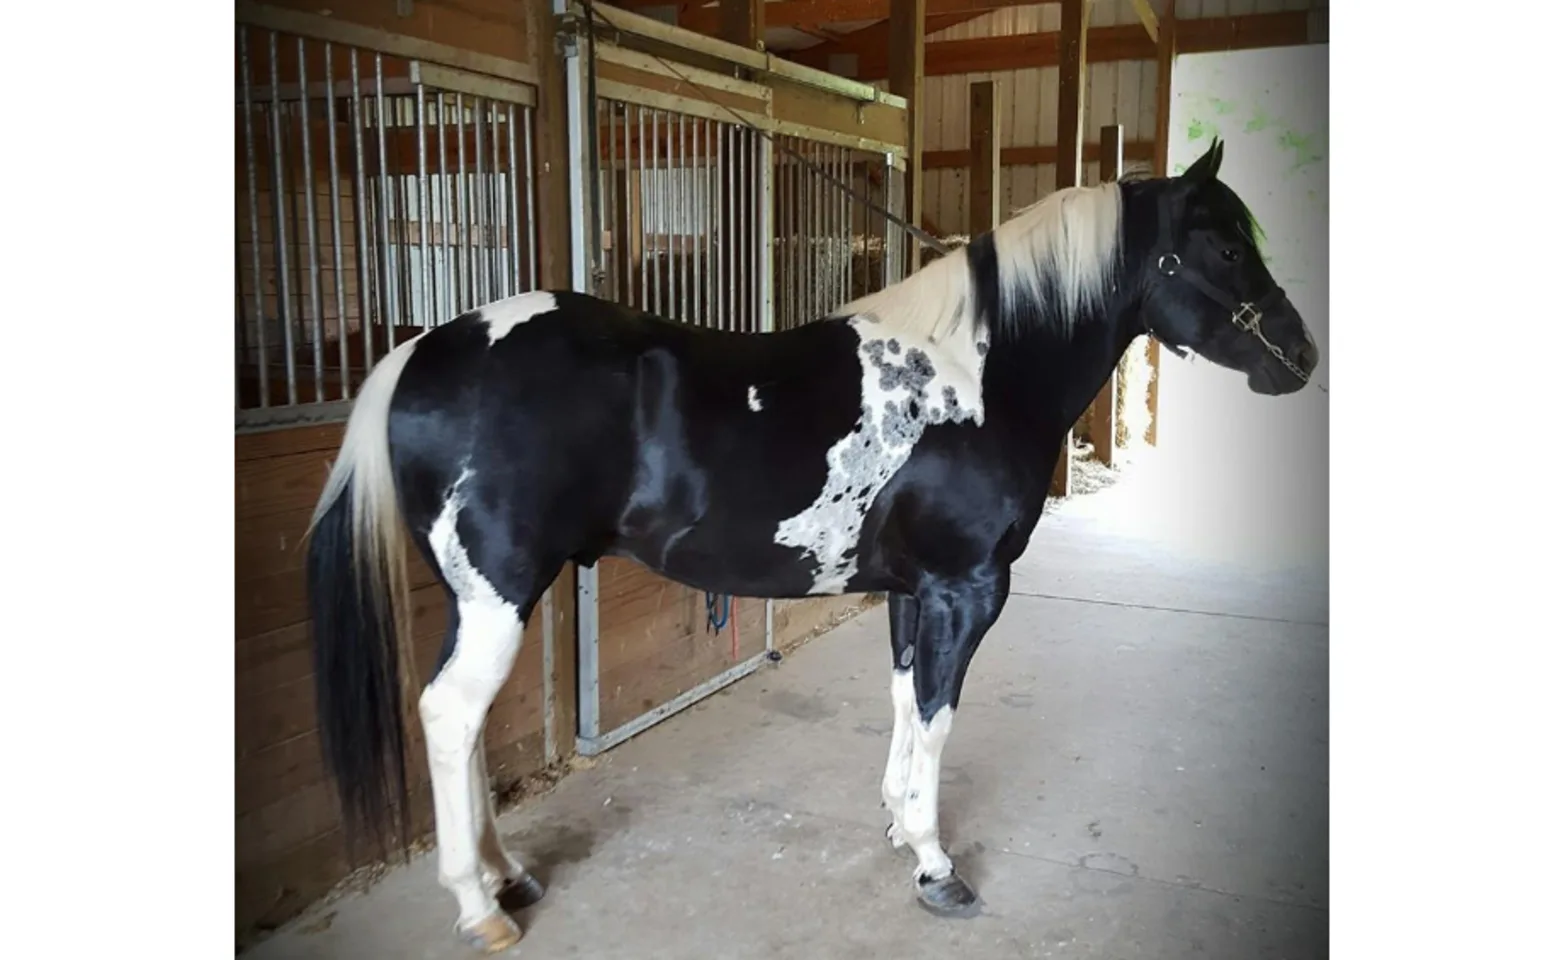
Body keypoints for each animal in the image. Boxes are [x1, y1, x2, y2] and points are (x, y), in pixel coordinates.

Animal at [304, 137, 1320, 956]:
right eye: (1228, 248)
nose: (1303, 357)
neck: (978, 378)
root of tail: (422, 351)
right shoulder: (968, 588)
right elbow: (940, 714)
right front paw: (936, 864)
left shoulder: (914, 591)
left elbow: (907, 700)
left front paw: (899, 824)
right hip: (500, 593)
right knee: (449, 717)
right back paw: (482, 907)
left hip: (483, 597)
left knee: (465, 724)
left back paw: (506, 874)